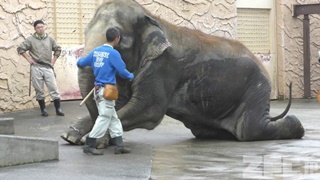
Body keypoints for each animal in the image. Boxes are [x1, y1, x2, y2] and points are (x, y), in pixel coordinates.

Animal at [60, 0, 304, 146]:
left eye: (117, 39)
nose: (87, 139)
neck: (152, 17)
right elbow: (120, 105)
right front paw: (70, 137)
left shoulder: (162, 65)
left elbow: (147, 109)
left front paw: (93, 141)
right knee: (210, 131)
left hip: (256, 87)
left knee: (249, 129)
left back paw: (297, 126)